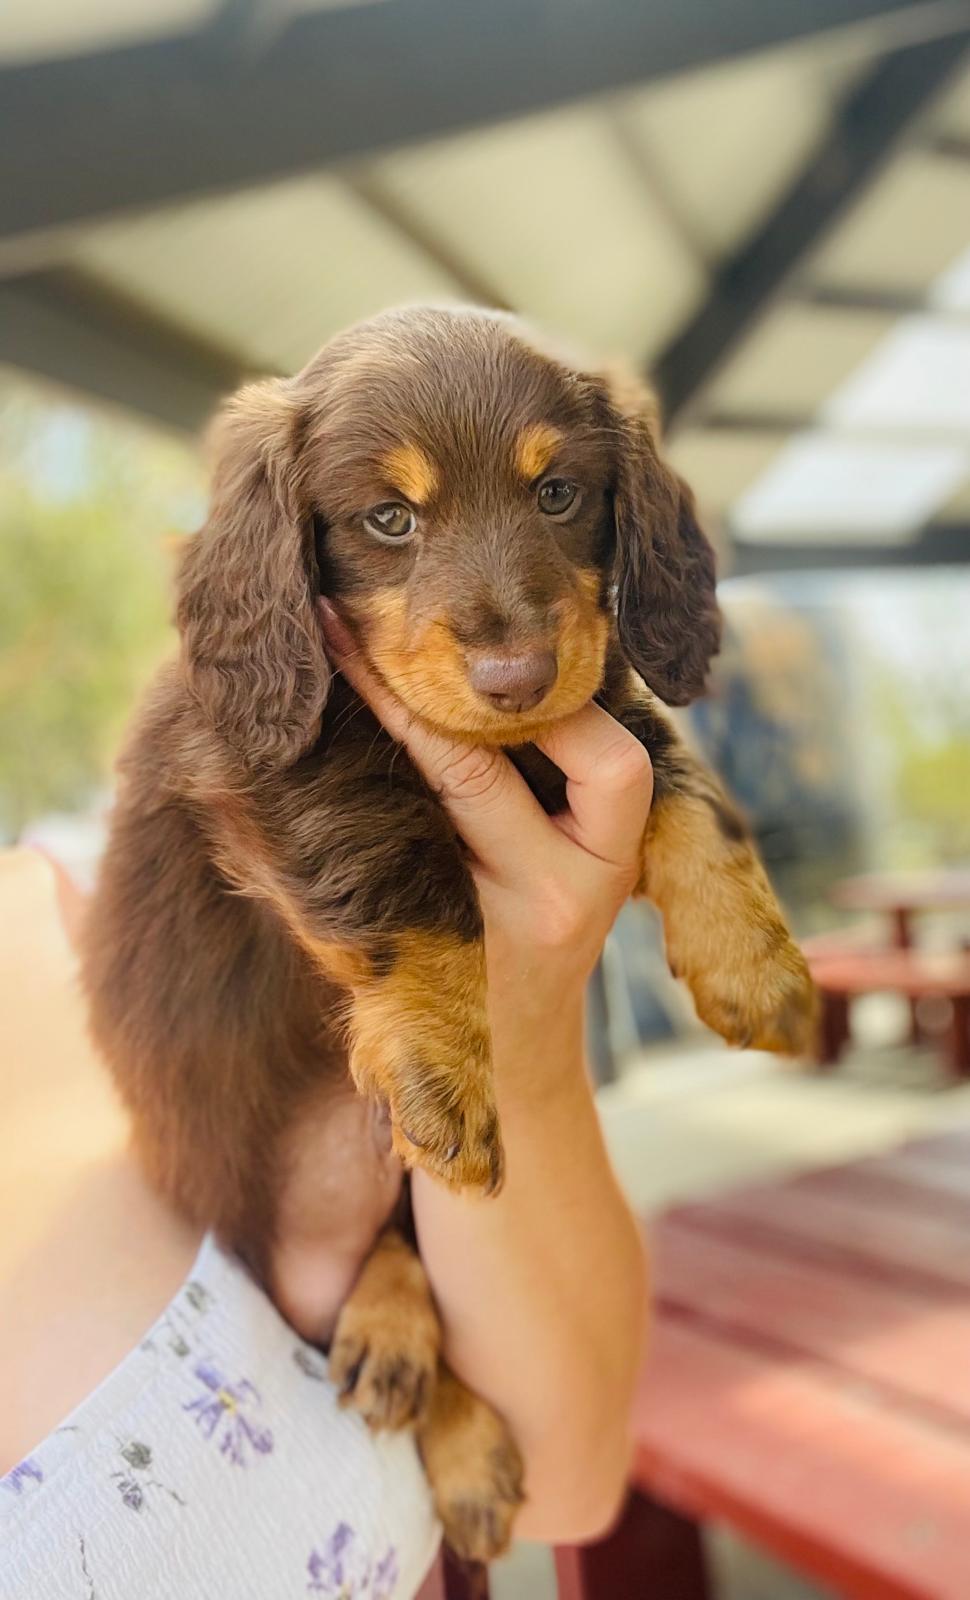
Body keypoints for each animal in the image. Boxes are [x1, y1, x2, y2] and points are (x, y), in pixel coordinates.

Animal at [80, 302, 816, 1561]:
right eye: (390, 517)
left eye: (558, 493)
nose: (518, 677)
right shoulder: (293, 760)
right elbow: (414, 879)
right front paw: (441, 1064)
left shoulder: (602, 710)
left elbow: (683, 782)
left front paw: (753, 965)